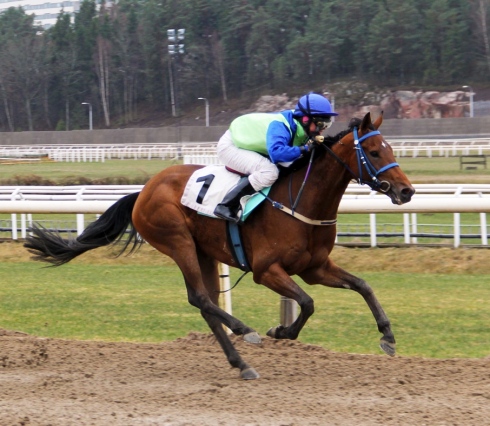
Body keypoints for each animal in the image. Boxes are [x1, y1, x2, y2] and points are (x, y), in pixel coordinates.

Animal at [23, 112, 414, 380]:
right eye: (375, 152)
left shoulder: (315, 268)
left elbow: (363, 286)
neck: (301, 201)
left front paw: (388, 336)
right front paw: (280, 331)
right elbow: (307, 302)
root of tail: (144, 190)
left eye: (391, 148)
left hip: (204, 252)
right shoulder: (266, 270)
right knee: (199, 297)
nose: (407, 191)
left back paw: (241, 364)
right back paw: (245, 331)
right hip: (177, 240)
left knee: (206, 304)